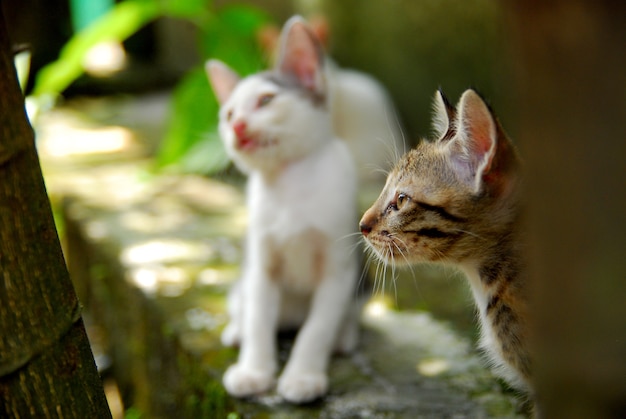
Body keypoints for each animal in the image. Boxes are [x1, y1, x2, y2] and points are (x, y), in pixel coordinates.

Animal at [205, 17, 360, 406]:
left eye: (266, 100)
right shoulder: (261, 264)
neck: (291, 186)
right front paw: (253, 371)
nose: (237, 126)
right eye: (228, 114)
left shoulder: (339, 268)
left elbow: (317, 329)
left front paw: (303, 376)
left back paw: (345, 336)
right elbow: (259, 320)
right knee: (245, 306)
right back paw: (237, 330)